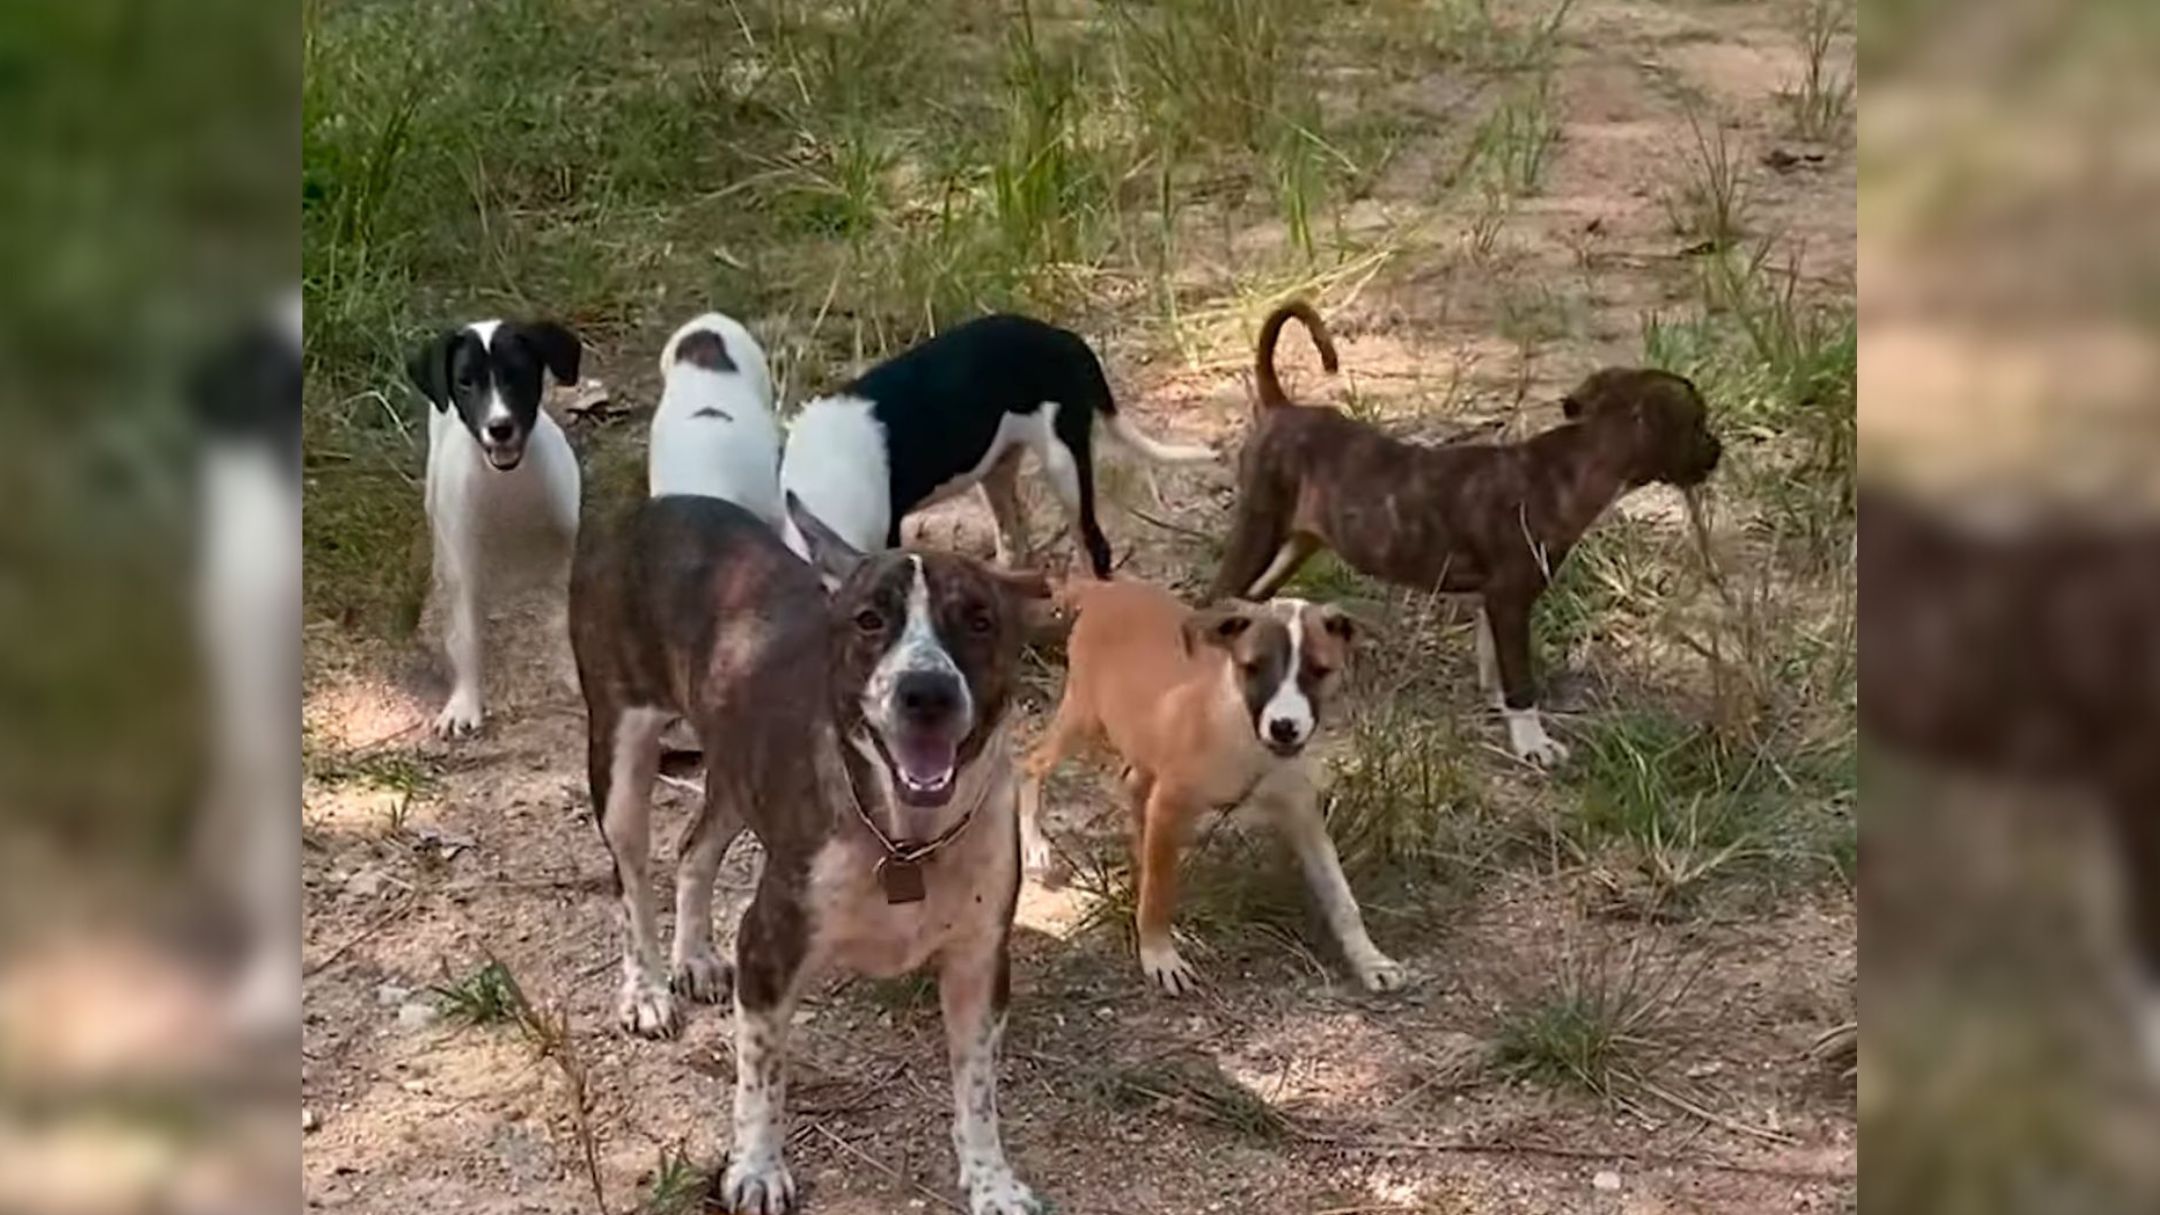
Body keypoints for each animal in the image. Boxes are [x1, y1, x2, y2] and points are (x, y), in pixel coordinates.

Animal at [406, 317, 583, 735]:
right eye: (465, 382)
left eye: (517, 374)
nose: (499, 428)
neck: (508, 485)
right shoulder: (465, 572)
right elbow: (466, 639)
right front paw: (465, 703)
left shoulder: (568, 562)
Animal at [570, 488, 1049, 1210]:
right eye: (869, 619)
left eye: (979, 620)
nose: (926, 692)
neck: (904, 838)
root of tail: (654, 506)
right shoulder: (769, 947)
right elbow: (762, 1078)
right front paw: (756, 1169)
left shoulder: (979, 964)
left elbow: (977, 1090)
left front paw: (992, 1181)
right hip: (621, 752)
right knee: (631, 878)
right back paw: (647, 988)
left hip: (735, 768)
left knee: (693, 847)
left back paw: (695, 957)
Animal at [1019, 575, 1408, 994]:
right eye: (1252, 667)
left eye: (1319, 671)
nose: (1284, 728)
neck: (1246, 738)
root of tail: (1104, 586)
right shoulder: (1170, 804)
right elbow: (1158, 892)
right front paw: (1159, 955)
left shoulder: (1302, 814)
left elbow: (1342, 898)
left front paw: (1370, 959)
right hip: (1085, 718)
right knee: (1030, 763)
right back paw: (1038, 848)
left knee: (1133, 788)